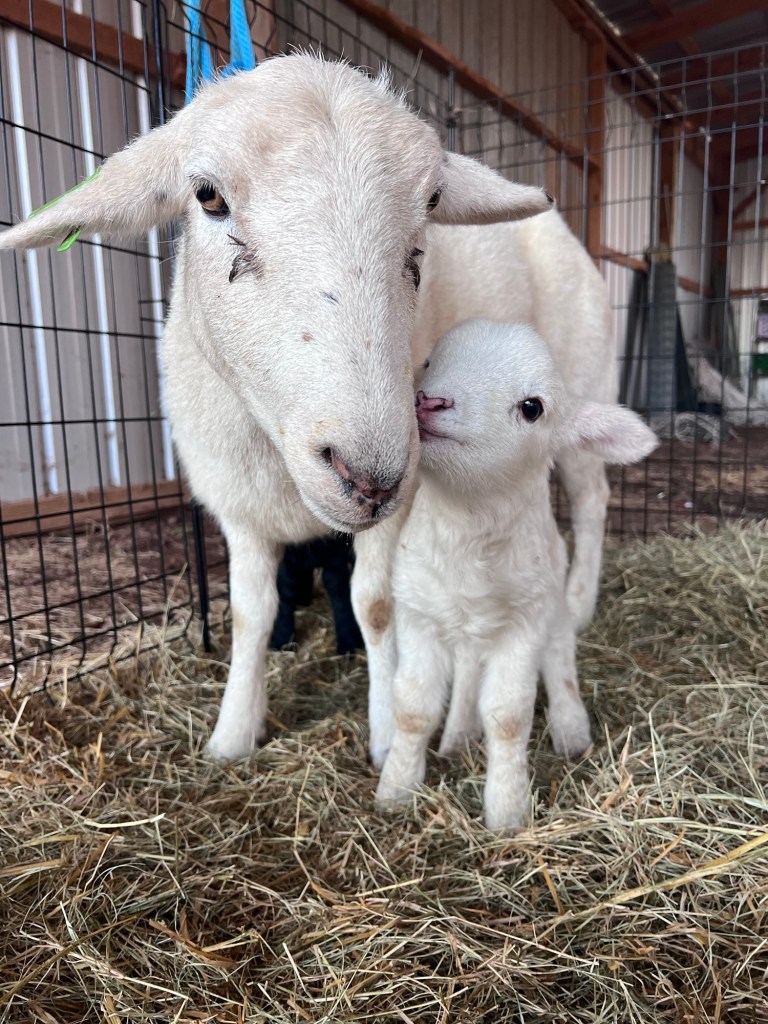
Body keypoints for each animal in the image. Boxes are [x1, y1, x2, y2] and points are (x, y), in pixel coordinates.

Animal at [0, 54, 611, 766]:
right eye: (207, 196)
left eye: (432, 204)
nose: (370, 477)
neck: (276, 444)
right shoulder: (237, 505)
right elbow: (249, 612)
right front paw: (234, 731)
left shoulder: (398, 504)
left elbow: (375, 606)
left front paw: (384, 733)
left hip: (582, 376)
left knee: (592, 496)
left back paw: (580, 601)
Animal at [375, 319, 658, 830]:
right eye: (428, 360)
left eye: (532, 408)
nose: (429, 400)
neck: (466, 531)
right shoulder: (417, 611)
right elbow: (413, 709)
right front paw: (396, 788)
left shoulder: (524, 623)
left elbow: (508, 717)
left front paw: (506, 811)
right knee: (468, 675)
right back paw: (459, 734)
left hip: (554, 608)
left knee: (560, 660)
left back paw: (570, 728)